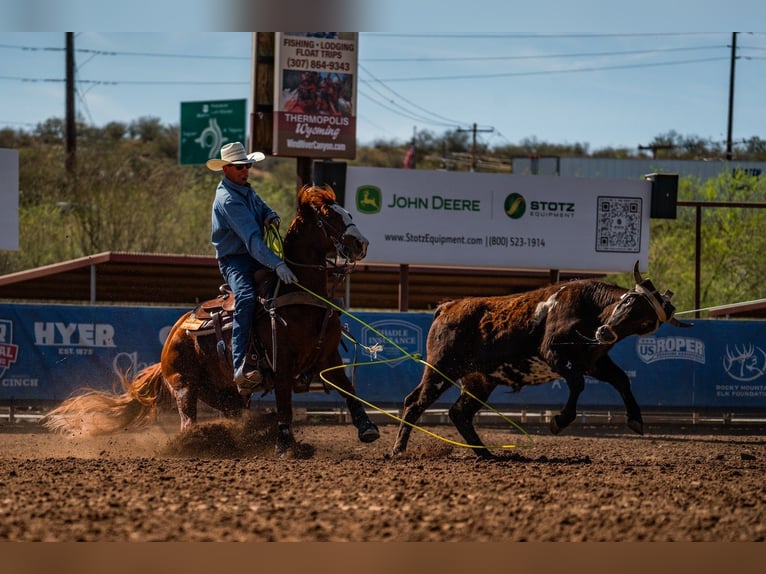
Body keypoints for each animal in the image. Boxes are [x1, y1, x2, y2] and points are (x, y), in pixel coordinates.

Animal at [43, 185, 380, 457]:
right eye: (327, 215)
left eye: (348, 212)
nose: (361, 244)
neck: (298, 293)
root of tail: (172, 336)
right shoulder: (281, 362)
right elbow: (285, 403)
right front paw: (285, 445)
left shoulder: (327, 356)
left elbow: (347, 388)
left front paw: (367, 428)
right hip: (184, 387)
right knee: (187, 423)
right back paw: (195, 444)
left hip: (226, 394)